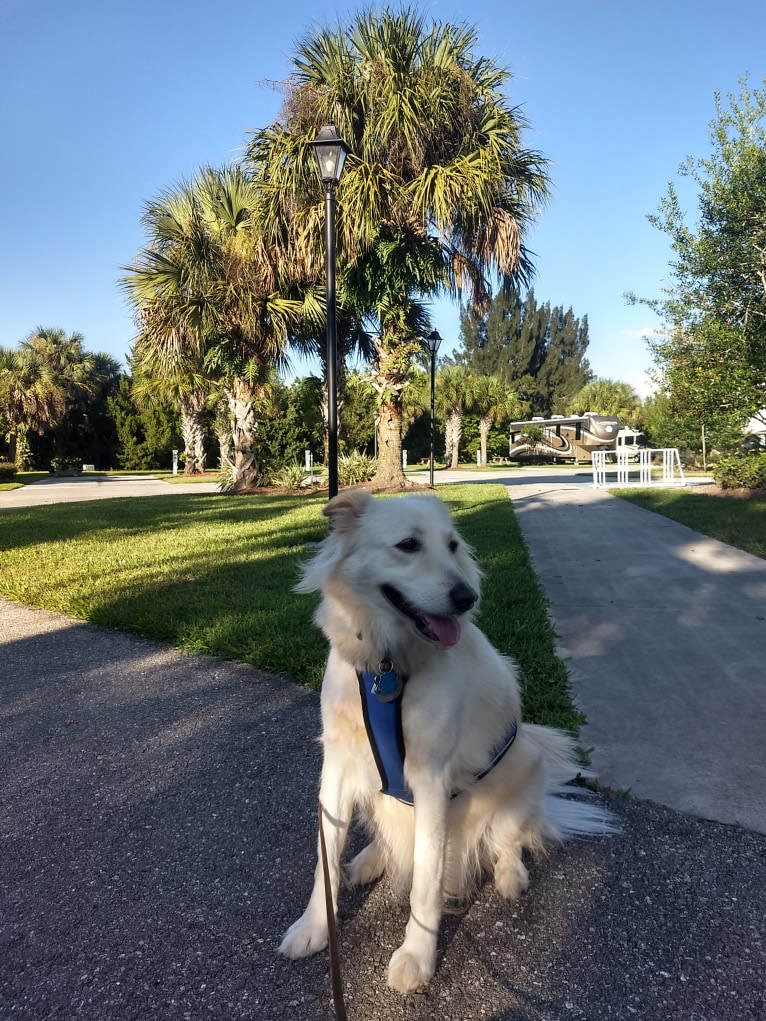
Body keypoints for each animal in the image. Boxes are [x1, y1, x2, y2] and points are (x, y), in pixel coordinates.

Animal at [279, 490, 616, 992]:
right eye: (408, 545)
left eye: (453, 545)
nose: (466, 598)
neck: (387, 668)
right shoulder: (337, 769)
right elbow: (326, 863)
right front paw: (314, 928)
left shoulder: (431, 781)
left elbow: (425, 884)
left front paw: (416, 958)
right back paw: (367, 860)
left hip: (523, 768)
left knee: (511, 839)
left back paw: (510, 876)